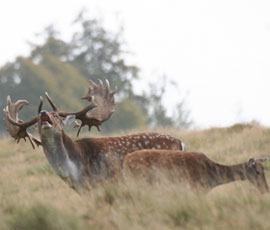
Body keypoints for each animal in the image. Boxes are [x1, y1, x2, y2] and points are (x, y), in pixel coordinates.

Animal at [3, 80, 185, 188]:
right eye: (36, 121)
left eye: (57, 116)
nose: (43, 113)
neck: (75, 171)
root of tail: (180, 143)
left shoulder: (107, 183)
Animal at [123, 149, 270, 194]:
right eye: (257, 171)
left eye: (264, 170)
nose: (266, 190)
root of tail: (125, 160)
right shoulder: (196, 187)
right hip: (139, 180)